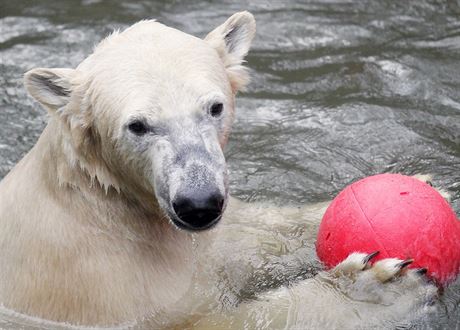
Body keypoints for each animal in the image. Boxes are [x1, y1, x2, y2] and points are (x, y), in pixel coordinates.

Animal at [0, 11, 438, 328]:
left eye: (214, 106)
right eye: (137, 125)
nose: (199, 204)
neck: (104, 202)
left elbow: (248, 241)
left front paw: (422, 186)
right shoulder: (103, 285)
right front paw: (375, 286)